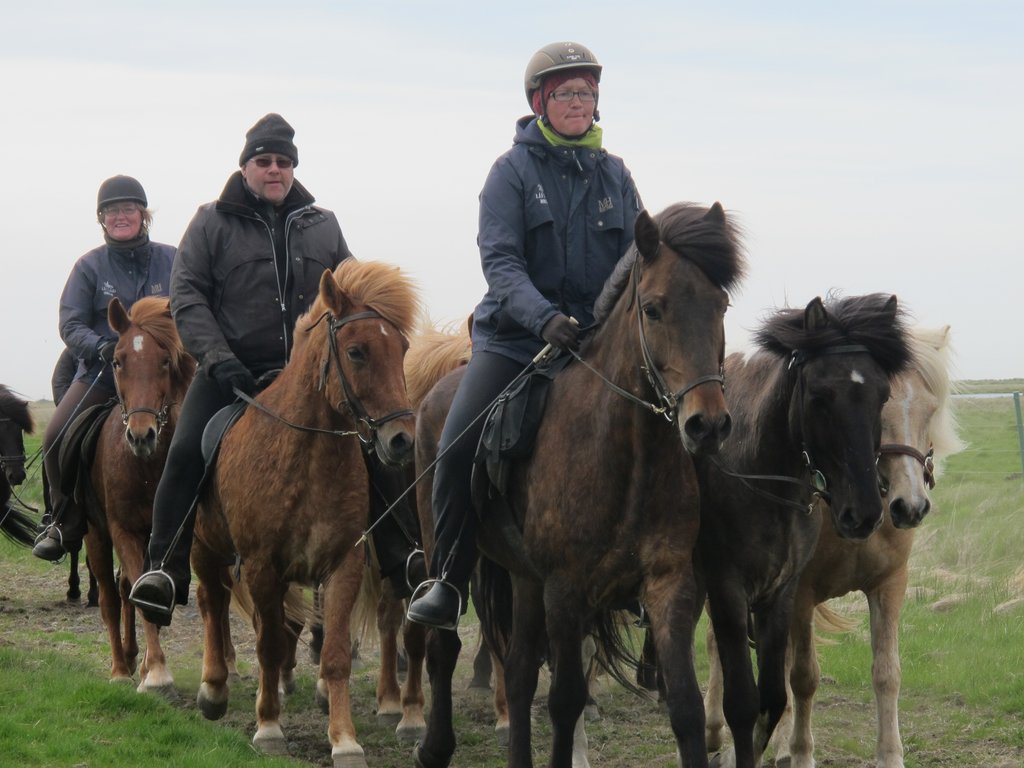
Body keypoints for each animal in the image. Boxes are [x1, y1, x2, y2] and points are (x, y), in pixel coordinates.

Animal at [81, 296, 196, 690]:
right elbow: (135, 592)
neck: (145, 469)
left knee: (122, 589)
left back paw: (133, 658)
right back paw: (119, 667)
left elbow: (148, 592)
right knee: (110, 597)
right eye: (117, 361)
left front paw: (149, 665)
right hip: (94, 535)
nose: (142, 435)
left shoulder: (164, 536)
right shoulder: (123, 530)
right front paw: (157, 671)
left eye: (165, 361)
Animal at [190, 259, 420, 767]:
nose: (401, 441)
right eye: (356, 352)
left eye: (402, 350)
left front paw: (345, 740)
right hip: (204, 548)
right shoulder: (260, 565)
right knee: (212, 603)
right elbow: (268, 644)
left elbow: (332, 653)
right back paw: (213, 688)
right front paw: (269, 728)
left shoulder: (342, 564)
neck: (307, 457)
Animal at [412, 202, 747, 768]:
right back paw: (434, 747)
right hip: (447, 547)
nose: (708, 426)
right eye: (653, 309)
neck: (628, 457)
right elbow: (566, 700)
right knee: (443, 646)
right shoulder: (566, 591)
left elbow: (685, 705)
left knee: (519, 670)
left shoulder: (666, 584)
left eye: (720, 306)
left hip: (525, 578)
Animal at [695, 293, 911, 768]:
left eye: (882, 394)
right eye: (819, 396)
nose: (864, 513)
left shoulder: (783, 591)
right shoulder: (730, 589)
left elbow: (773, 697)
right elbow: (750, 698)